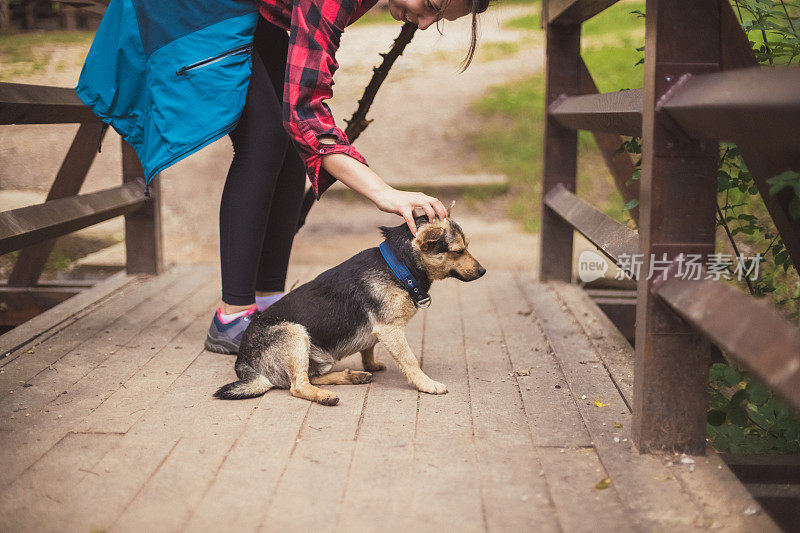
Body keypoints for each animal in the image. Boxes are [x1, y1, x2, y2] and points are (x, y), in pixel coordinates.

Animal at [212, 212, 484, 404]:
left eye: (468, 246)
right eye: (458, 251)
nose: (483, 271)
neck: (399, 265)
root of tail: (243, 364)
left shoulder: (379, 330)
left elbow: (369, 348)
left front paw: (370, 365)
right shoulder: (390, 329)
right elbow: (409, 360)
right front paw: (426, 383)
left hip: (315, 356)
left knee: (312, 376)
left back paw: (351, 376)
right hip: (295, 334)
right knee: (298, 386)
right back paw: (324, 396)